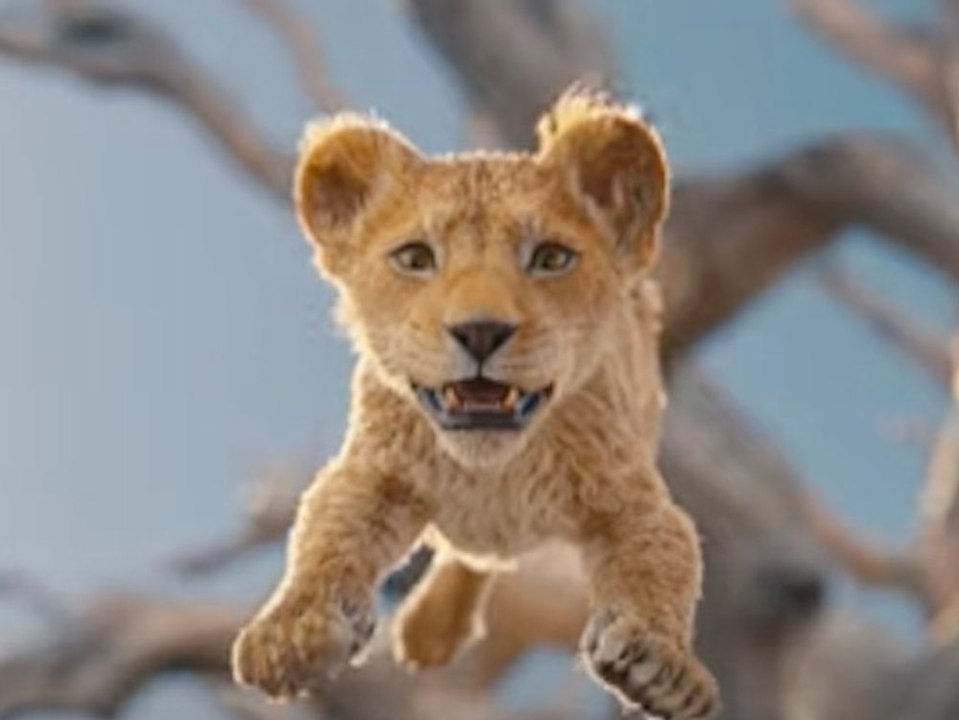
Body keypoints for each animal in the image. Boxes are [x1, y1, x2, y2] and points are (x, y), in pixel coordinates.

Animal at [230, 89, 719, 720]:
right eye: (415, 258)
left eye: (552, 258)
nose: (481, 331)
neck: (493, 469)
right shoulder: (373, 474)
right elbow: (324, 537)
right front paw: (290, 634)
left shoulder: (633, 499)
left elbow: (662, 562)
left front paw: (661, 666)